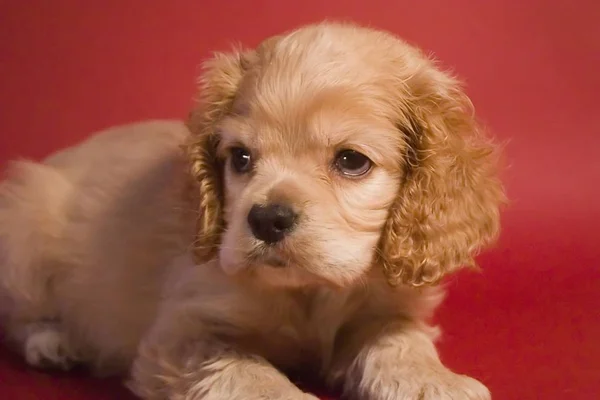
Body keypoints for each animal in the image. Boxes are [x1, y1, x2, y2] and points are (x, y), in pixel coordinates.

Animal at [2, 22, 504, 400]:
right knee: (17, 317)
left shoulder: (385, 308)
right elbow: (245, 369)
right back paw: (54, 341)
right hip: (25, 237)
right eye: (241, 158)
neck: (309, 293)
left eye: (351, 161)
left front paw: (434, 382)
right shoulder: (181, 332)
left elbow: (400, 341)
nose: (266, 219)